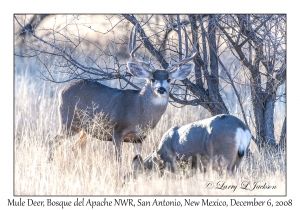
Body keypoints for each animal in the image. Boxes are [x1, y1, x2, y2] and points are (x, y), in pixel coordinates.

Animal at [48, 25, 198, 162]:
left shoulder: (139, 139)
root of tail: (61, 90)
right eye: (152, 79)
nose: (161, 89)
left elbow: (137, 160)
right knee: (53, 141)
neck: (139, 111)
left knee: (74, 147)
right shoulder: (117, 131)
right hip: (69, 121)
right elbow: (118, 161)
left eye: (168, 79)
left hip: (85, 129)